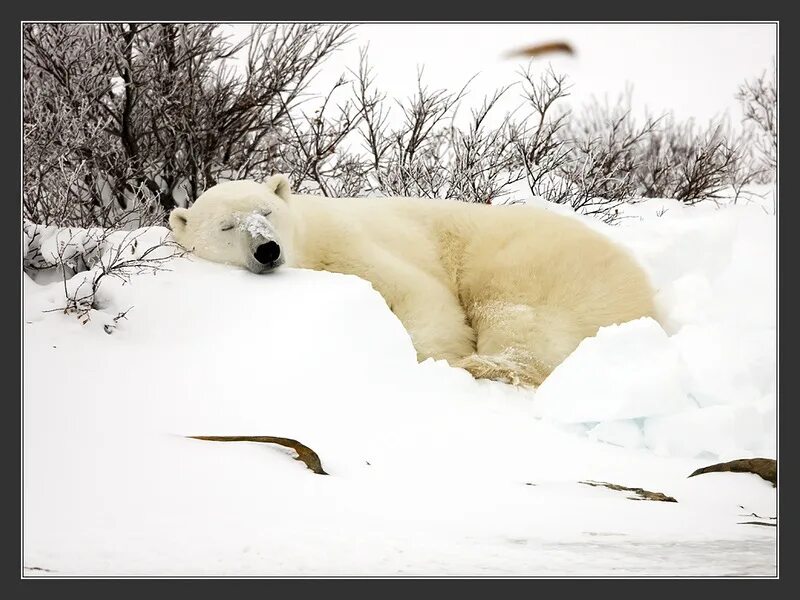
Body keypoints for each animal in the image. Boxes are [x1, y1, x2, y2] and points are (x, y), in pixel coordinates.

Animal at [169, 176, 656, 386]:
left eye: (265, 211)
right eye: (227, 226)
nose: (267, 249)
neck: (308, 244)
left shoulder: (347, 242)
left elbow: (418, 294)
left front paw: (437, 359)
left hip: (528, 261)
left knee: (517, 318)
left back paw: (482, 365)